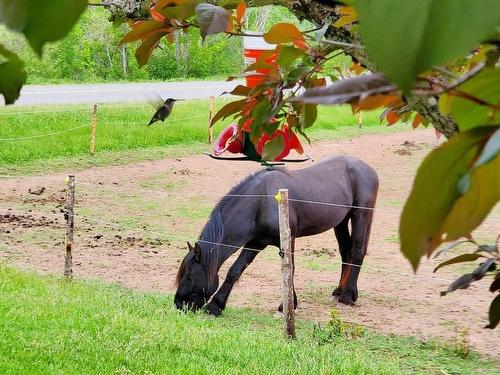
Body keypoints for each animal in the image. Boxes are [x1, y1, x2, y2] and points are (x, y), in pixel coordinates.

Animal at [174, 156, 376, 318]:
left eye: (190, 274)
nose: (178, 304)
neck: (261, 201)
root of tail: (367, 169)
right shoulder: (255, 243)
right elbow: (234, 271)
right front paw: (216, 306)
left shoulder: (288, 240)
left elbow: (290, 269)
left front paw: (288, 305)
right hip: (340, 222)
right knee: (345, 251)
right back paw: (339, 291)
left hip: (361, 215)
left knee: (357, 252)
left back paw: (348, 296)